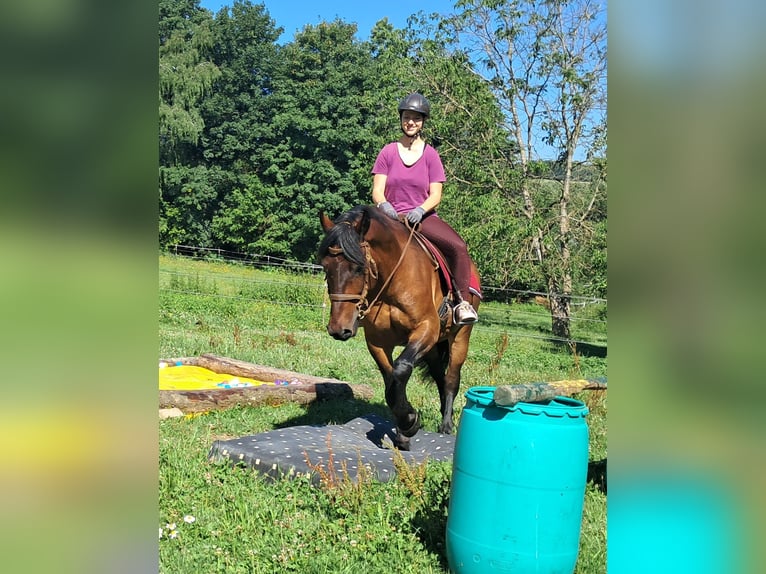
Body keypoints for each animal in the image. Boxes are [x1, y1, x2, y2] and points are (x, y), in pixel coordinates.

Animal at [318, 205, 481, 450]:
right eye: (326, 267)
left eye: (358, 268)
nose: (339, 329)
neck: (393, 280)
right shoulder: (377, 342)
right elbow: (390, 381)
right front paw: (404, 429)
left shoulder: (426, 329)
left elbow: (401, 369)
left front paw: (409, 422)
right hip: (433, 349)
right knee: (440, 377)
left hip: (460, 337)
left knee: (452, 379)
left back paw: (446, 425)